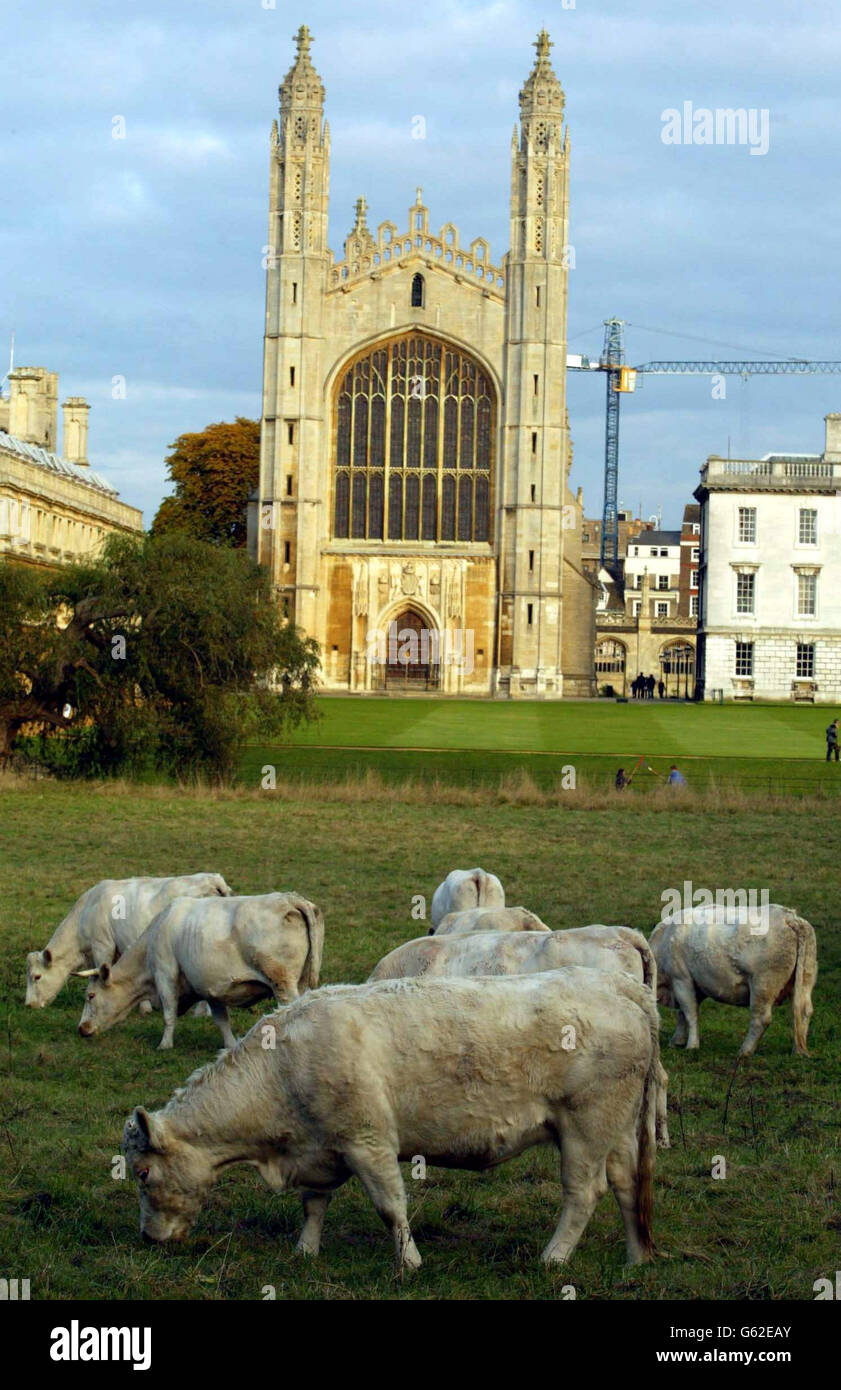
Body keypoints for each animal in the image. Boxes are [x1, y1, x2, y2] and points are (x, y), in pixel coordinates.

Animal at [77, 895, 325, 1045]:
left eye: (91, 996)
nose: (81, 1029)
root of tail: (291, 899)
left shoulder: (165, 974)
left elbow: (168, 1014)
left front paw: (164, 1045)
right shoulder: (212, 989)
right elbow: (222, 1021)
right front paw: (230, 1046)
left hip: (283, 983)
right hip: (301, 981)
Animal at [121, 967, 658, 1273]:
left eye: (144, 1173)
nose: (146, 1238)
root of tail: (619, 985)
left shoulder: (368, 1141)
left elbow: (390, 1207)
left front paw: (410, 1263)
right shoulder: (320, 1146)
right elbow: (313, 1204)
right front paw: (305, 1252)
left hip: (586, 1127)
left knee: (584, 1194)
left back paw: (553, 1258)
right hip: (618, 1130)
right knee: (627, 1184)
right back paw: (637, 1258)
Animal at [644, 900, 817, 1050]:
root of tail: (788, 917)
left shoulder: (681, 979)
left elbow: (690, 1014)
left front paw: (691, 1045)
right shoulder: (694, 984)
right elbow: (682, 1014)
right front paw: (677, 1040)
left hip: (763, 985)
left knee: (761, 1019)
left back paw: (744, 1051)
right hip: (804, 980)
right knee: (803, 1011)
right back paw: (798, 1051)